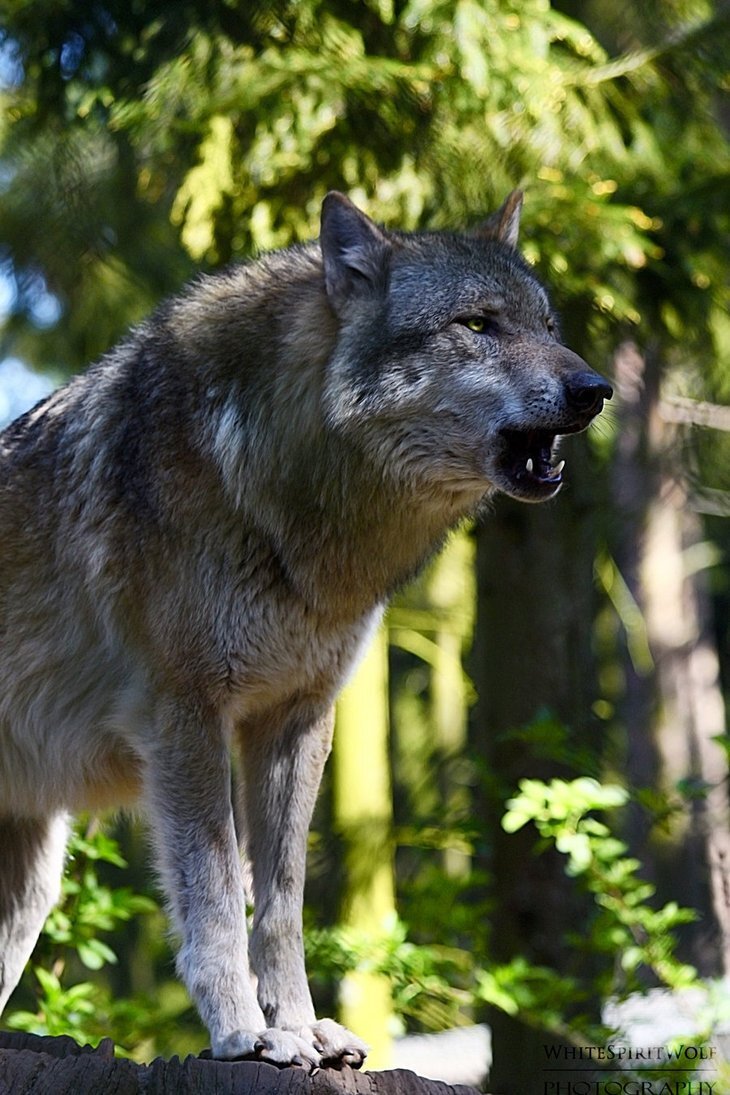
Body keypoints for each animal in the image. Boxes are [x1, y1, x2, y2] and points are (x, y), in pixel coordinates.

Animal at [0, 190, 612, 1068]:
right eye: (478, 324)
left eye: (551, 326)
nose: (596, 388)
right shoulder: (185, 715)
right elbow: (218, 893)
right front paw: (242, 1033)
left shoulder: (296, 719)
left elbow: (282, 902)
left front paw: (299, 1025)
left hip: (31, 881)